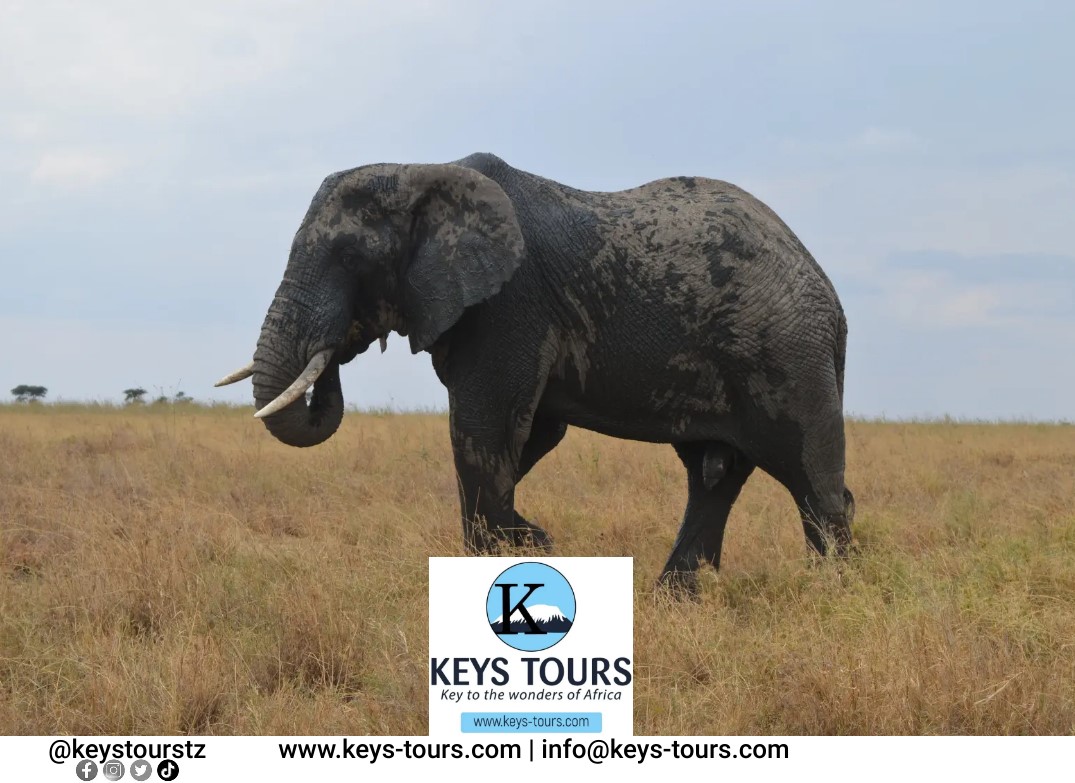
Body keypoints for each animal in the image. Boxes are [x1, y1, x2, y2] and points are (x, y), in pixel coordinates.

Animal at [216, 152, 855, 591]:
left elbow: (484, 434)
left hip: (787, 354)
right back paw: (675, 601)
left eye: (351, 258)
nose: (339, 345)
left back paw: (835, 596)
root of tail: (829, 292)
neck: (419, 172)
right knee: (712, 477)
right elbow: (525, 439)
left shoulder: (509, 307)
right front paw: (526, 539)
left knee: (813, 482)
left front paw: (529, 541)